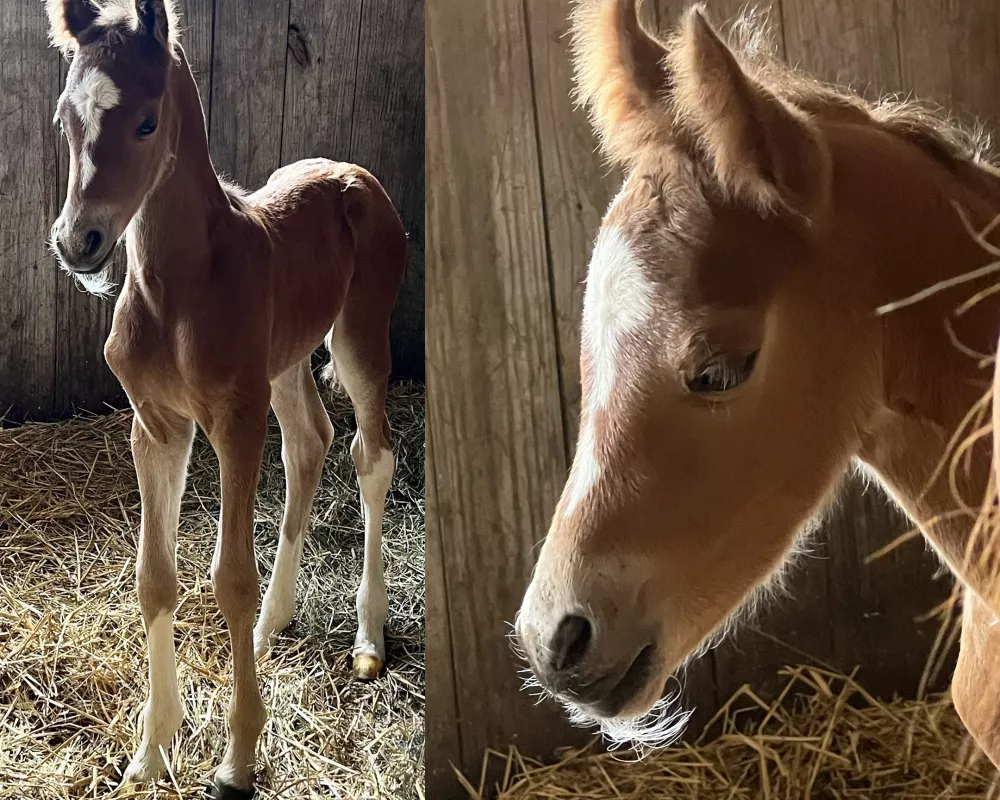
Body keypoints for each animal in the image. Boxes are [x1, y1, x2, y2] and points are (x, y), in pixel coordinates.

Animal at [46, 0, 406, 792]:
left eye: (147, 121)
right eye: (64, 118)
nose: (78, 241)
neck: (176, 289)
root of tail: (351, 170)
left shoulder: (236, 420)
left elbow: (229, 578)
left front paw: (238, 758)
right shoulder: (156, 427)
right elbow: (155, 579)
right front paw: (150, 754)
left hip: (361, 337)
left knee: (371, 455)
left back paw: (367, 638)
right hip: (286, 360)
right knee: (310, 443)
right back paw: (274, 624)